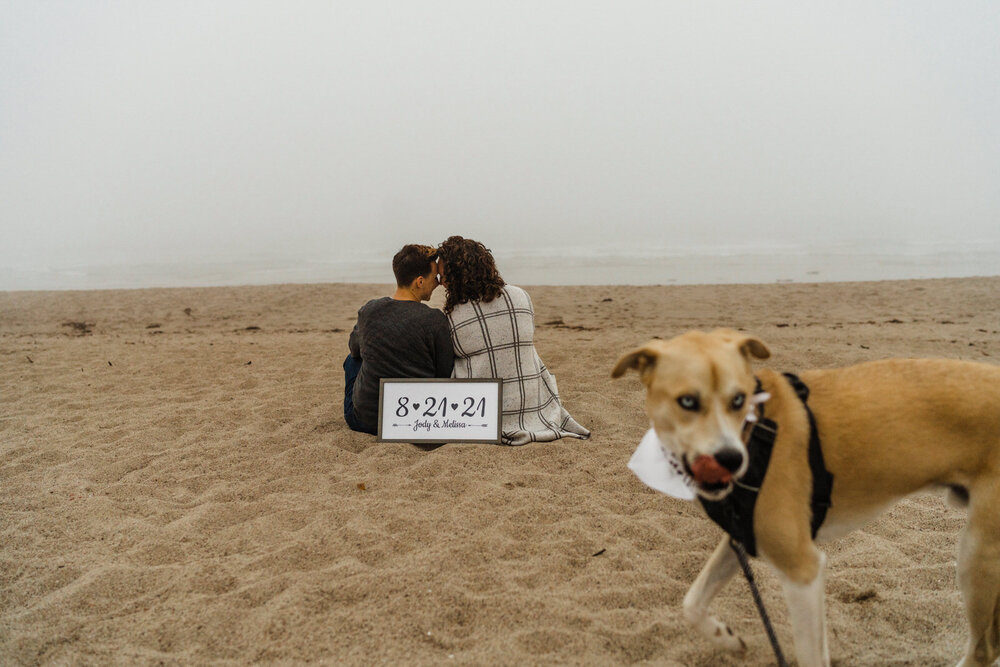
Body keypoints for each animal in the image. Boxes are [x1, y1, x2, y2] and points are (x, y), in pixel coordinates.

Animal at [608, 330, 1000, 667]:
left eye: (738, 400)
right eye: (687, 401)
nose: (731, 459)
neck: (755, 429)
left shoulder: (802, 571)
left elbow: (811, 654)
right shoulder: (744, 537)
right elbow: (692, 603)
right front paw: (726, 638)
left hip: (977, 555)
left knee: (983, 651)